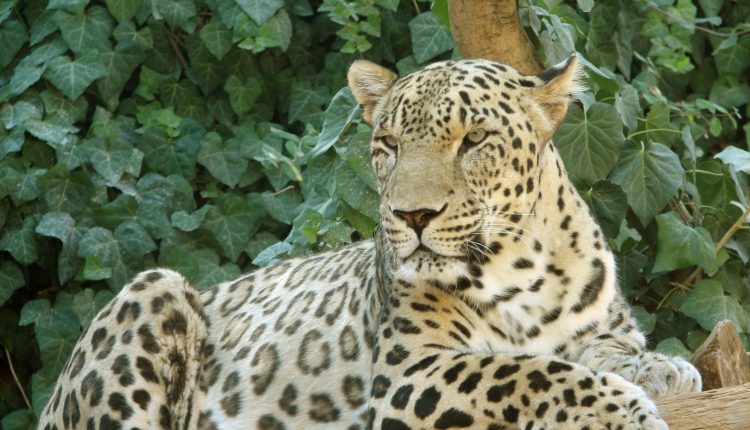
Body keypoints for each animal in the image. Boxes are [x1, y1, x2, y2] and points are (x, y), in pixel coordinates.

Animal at [38, 53, 704, 430]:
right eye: (387, 145)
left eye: (474, 139)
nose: (412, 215)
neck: (523, 267)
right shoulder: (410, 370)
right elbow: (530, 372)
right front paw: (623, 411)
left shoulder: (600, 332)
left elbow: (603, 354)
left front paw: (664, 371)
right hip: (153, 289)